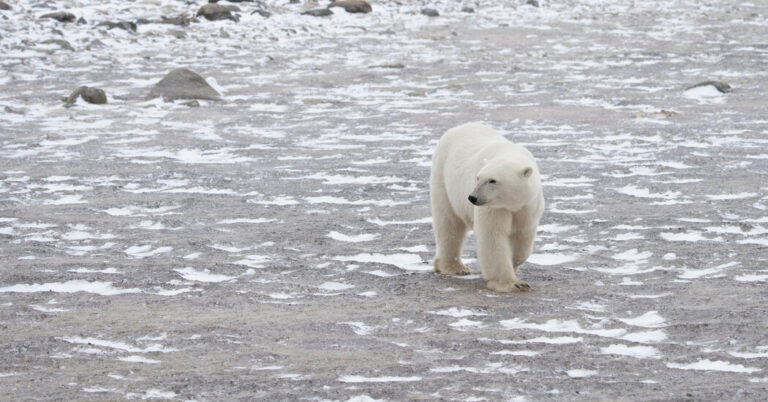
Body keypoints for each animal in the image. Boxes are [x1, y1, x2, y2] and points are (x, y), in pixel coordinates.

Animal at [430, 122, 544, 292]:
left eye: (492, 180)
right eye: (478, 178)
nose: (472, 197)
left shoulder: (528, 206)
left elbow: (522, 237)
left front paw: (514, 264)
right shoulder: (494, 208)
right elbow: (493, 235)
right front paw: (513, 283)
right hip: (443, 179)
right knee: (449, 223)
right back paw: (455, 267)